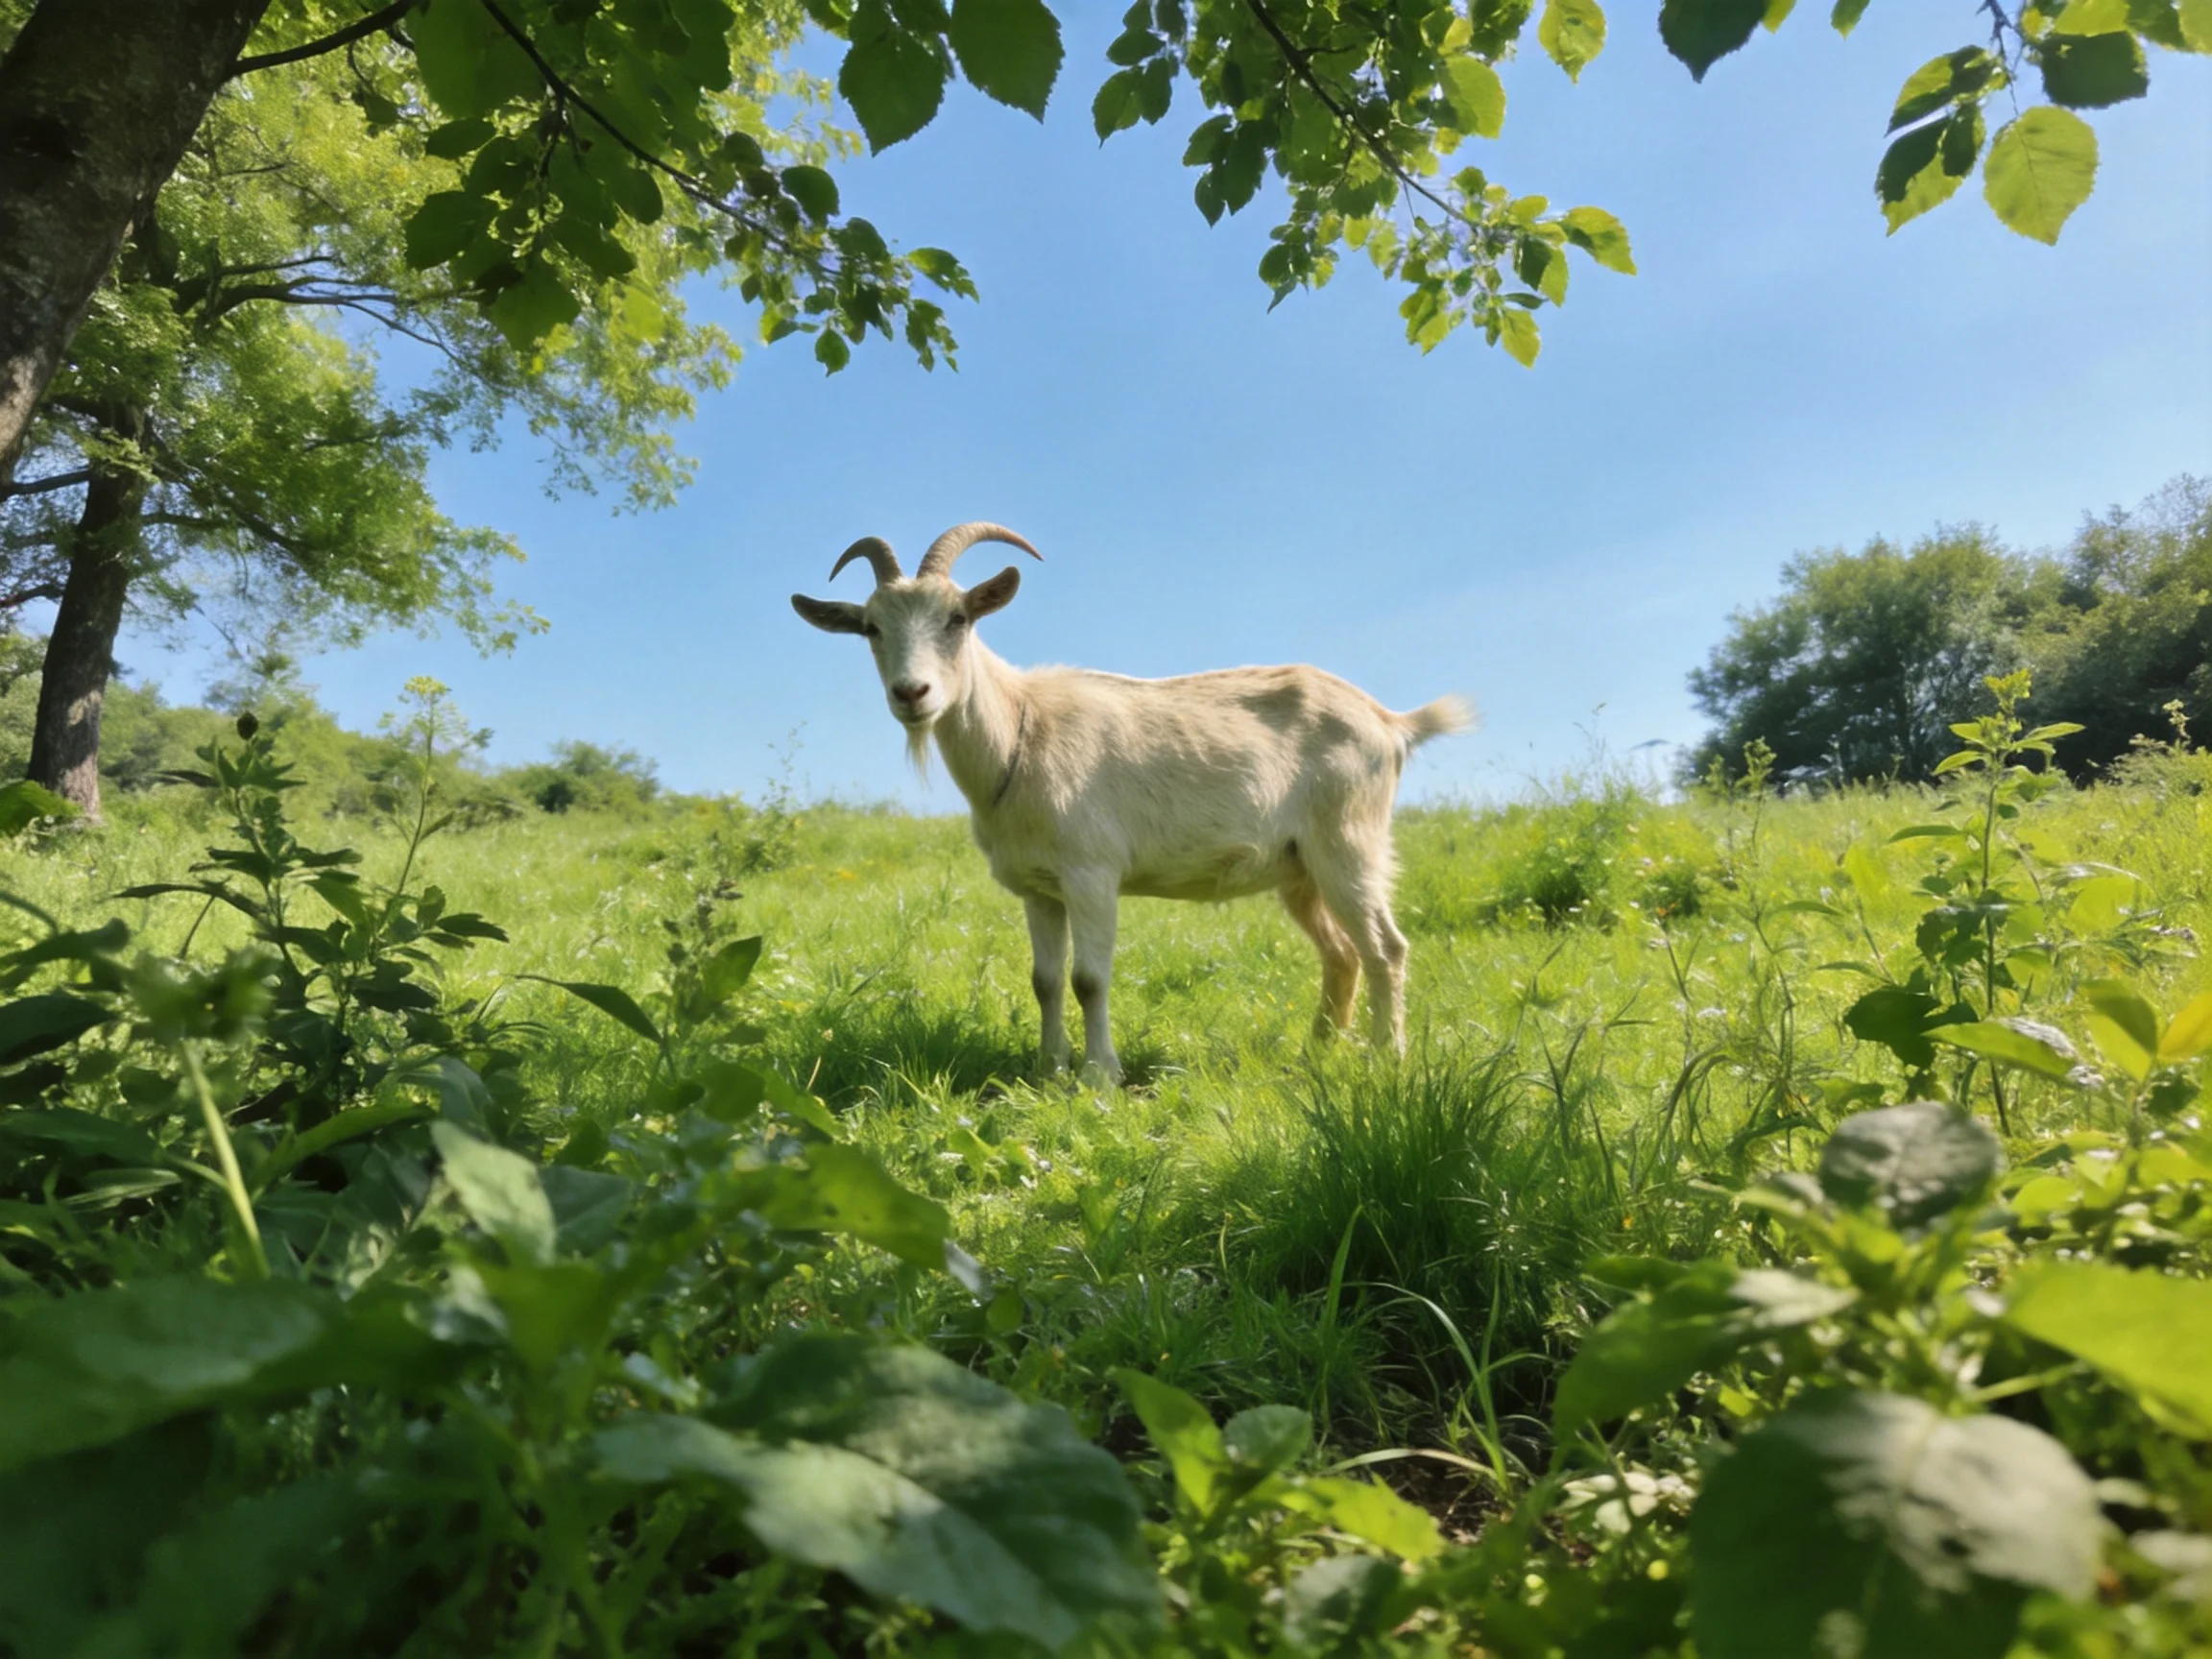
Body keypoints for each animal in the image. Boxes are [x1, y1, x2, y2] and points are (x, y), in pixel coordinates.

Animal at [792, 522, 1471, 1083]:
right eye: (871, 627)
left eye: (958, 619)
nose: (913, 693)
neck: (1021, 730)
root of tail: (1391, 722)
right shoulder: (1039, 888)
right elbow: (1044, 982)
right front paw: (1047, 1071)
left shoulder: (1091, 872)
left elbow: (1089, 979)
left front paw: (1100, 1078)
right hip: (1299, 868)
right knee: (1342, 953)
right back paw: (1317, 1053)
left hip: (1349, 841)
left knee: (1385, 947)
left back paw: (1387, 1058)